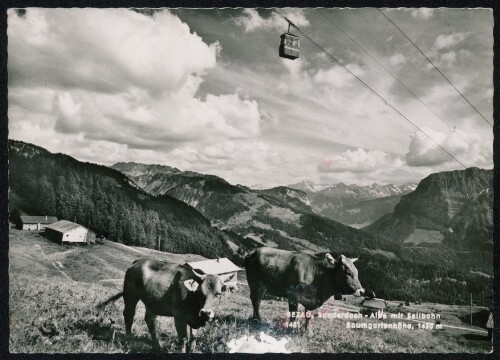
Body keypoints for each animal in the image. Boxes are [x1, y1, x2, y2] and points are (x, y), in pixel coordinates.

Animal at [98, 258, 239, 352]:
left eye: (218, 293)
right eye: (199, 292)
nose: (205, 312)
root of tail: (138, 262)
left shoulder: (195, 320)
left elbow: (193, 339)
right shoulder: (179, 316)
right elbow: (183, 339)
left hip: (151, 300)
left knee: (150, 320)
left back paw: (157, 347)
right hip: (130, 294)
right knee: (129, 314)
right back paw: (128, 339)